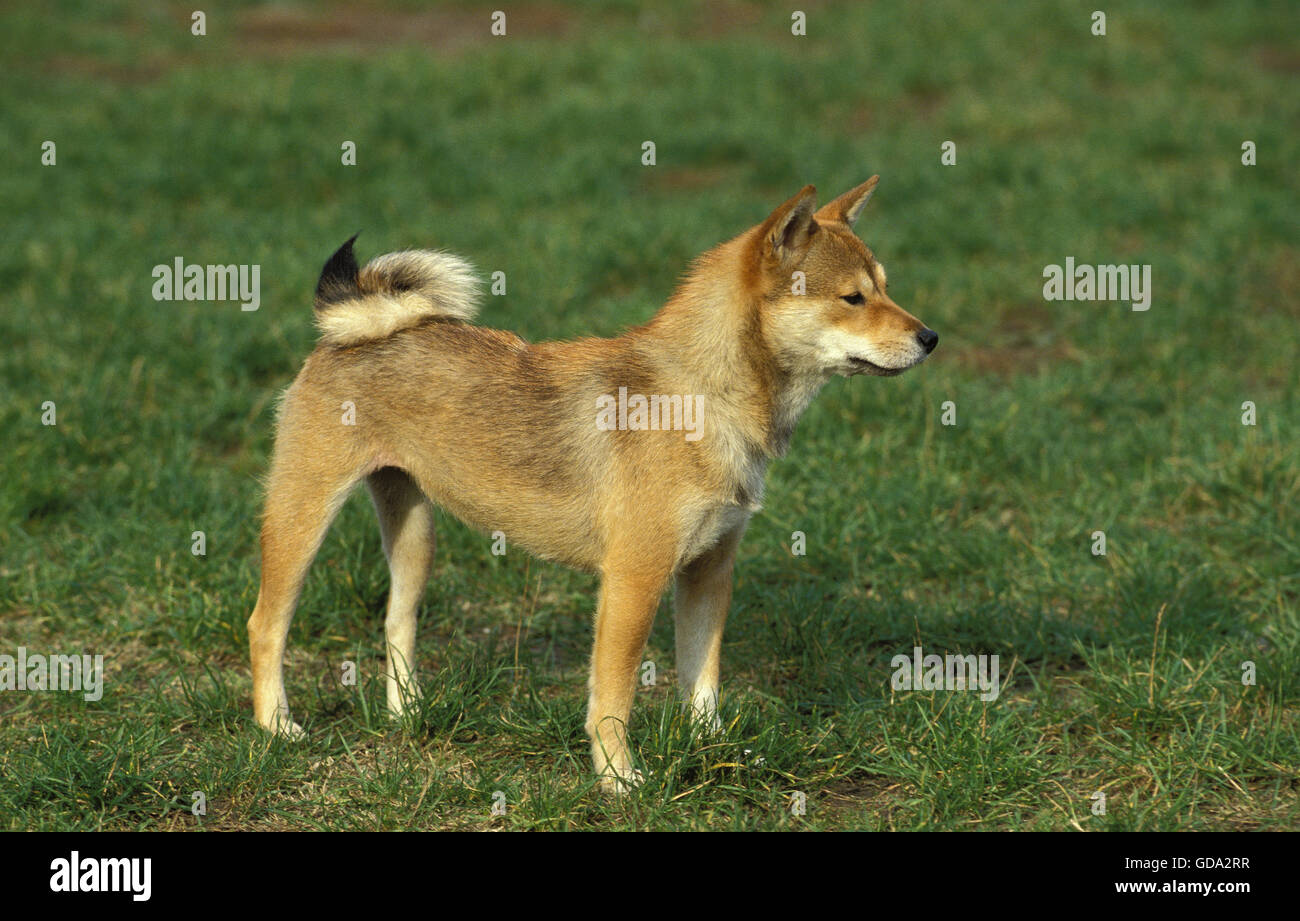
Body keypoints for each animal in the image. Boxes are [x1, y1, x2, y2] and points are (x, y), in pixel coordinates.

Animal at [245, 179, 935, 790]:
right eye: (852, 298)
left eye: (885, 289)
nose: (930, 337)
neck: (700, 396)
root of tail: (348, 331)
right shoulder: (634, 579)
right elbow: (613, 697)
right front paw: (618, 780)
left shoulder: (710, 570)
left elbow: (702, 681)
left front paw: (716, 750)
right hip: (302, 521)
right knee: (265, 625)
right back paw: (276, 728)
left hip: (415, 538)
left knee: (396, 624)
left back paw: (408, 716)